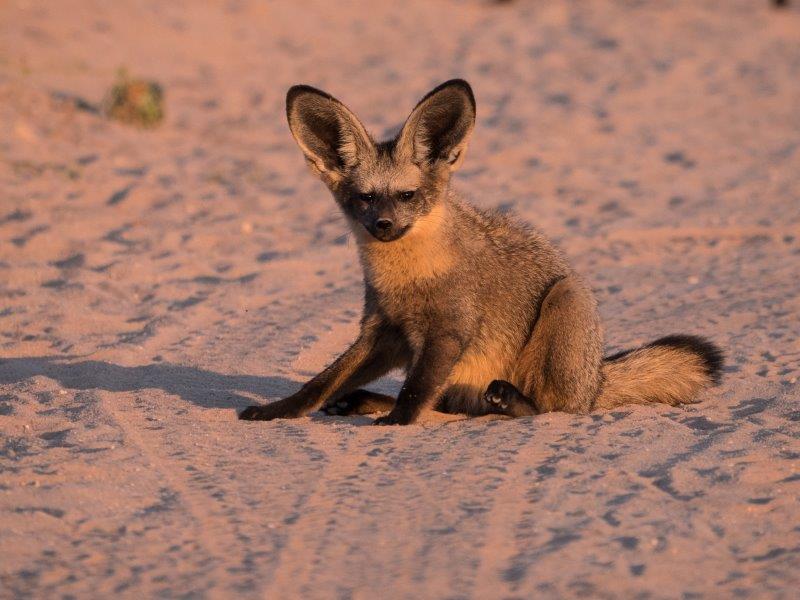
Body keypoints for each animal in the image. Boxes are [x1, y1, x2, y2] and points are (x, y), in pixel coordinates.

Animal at [239, 79, 724, 424]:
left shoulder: (449, 330)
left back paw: (511, 402)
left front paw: (395, 423)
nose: (383, 227)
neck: (409, 278)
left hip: (567, 298)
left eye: (407, 195)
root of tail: (596, 380)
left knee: (551, 408)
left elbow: (415, 390)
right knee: (454, 407)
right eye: (365, 198)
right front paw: (278, 410)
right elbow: (322, 382)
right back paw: (366, 401)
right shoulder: (383, 329)